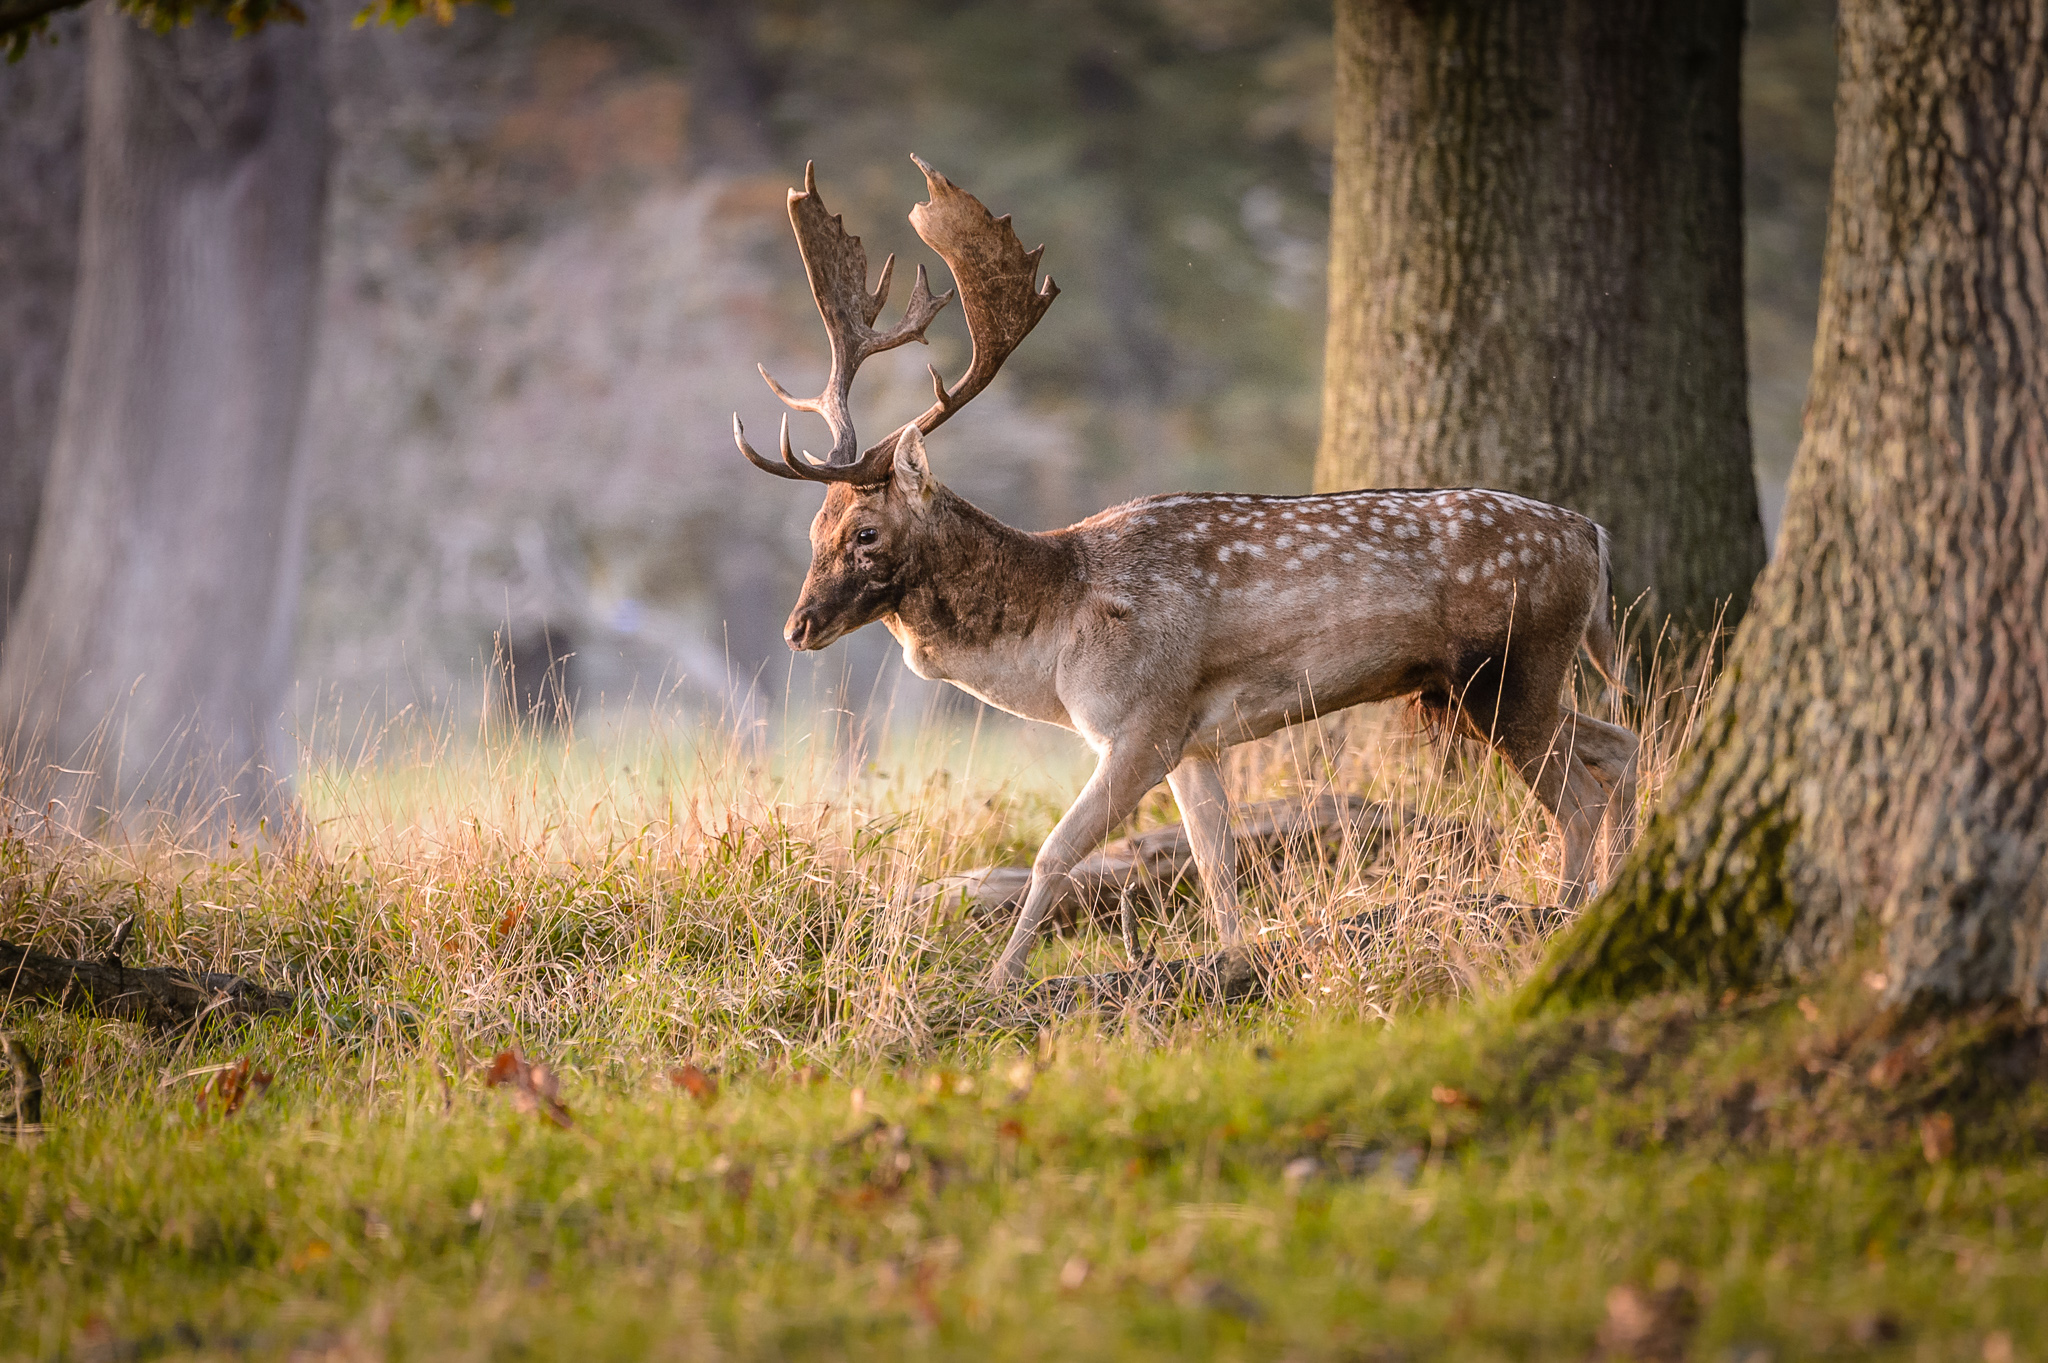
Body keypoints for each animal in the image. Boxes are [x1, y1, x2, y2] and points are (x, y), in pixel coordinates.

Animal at [733, 158, 1640, 987]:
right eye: (814, 527)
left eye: (867, 533)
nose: (797, 626)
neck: (1055, 638)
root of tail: (1592, 535)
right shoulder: (1193, 739)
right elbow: (1217, 865)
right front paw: (1235, 965)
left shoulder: (1141, 718)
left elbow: (1055, 852)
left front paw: (998, 980)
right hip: (1489, 684)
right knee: (1620, 743)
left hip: (1507, 670)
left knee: (1579, 795)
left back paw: (1563, 913)